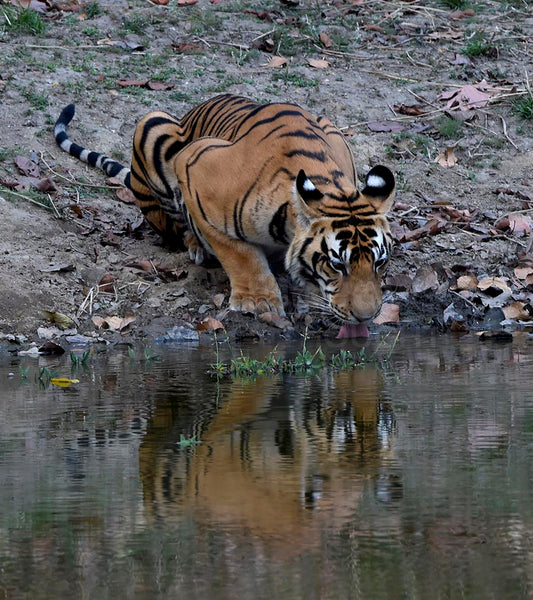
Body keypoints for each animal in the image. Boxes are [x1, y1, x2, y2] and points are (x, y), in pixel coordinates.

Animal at [55, 96, 394, 336]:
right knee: (175, 228)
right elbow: (239, 253)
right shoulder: (195, 169)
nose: (367, 316)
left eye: (380, 263)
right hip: (152, 125)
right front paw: (258, 300)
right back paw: (196, 246)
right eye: (337, 265)